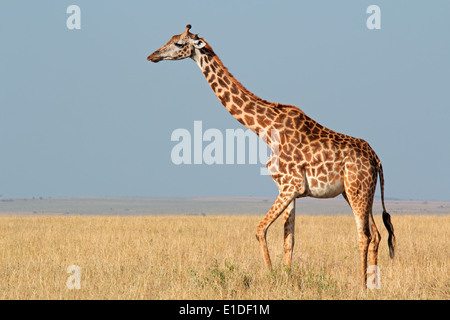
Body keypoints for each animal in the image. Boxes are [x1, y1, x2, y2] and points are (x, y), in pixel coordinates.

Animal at [147, 23, 394, 286]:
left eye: (179, 44)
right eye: (171, 38)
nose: (152, 55)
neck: (265, 129)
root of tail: (377, 159)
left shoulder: (291, 185)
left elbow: (260, 229)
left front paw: (271, 274)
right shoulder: (288, 189)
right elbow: (289, 239)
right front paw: (285, 278)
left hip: (358, 190)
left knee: (364, 236)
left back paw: (362, 285)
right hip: (355, 192)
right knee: (377, 234)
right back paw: (374, 283)